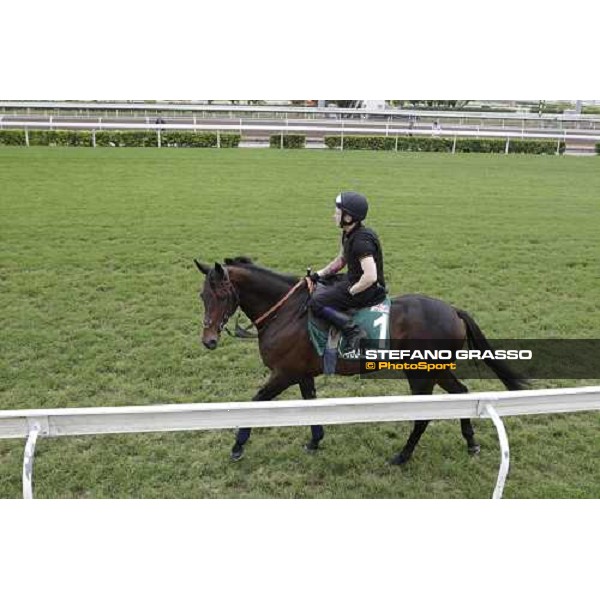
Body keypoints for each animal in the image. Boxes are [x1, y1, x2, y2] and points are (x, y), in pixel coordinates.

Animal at [193, 258, 524, 464]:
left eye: (220, 295)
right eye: (201, 296)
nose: (208, 340)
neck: (285, 312)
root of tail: (453, 310)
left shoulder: (284, 372)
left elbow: (257, 401)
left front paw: (238, 445)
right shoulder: (302, 372)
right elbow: (310, 405)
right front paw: (315, 440)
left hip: (421, 373)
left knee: (424, 415)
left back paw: (403, 456)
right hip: (437, 370)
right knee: (462, 394)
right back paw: (471, 442)